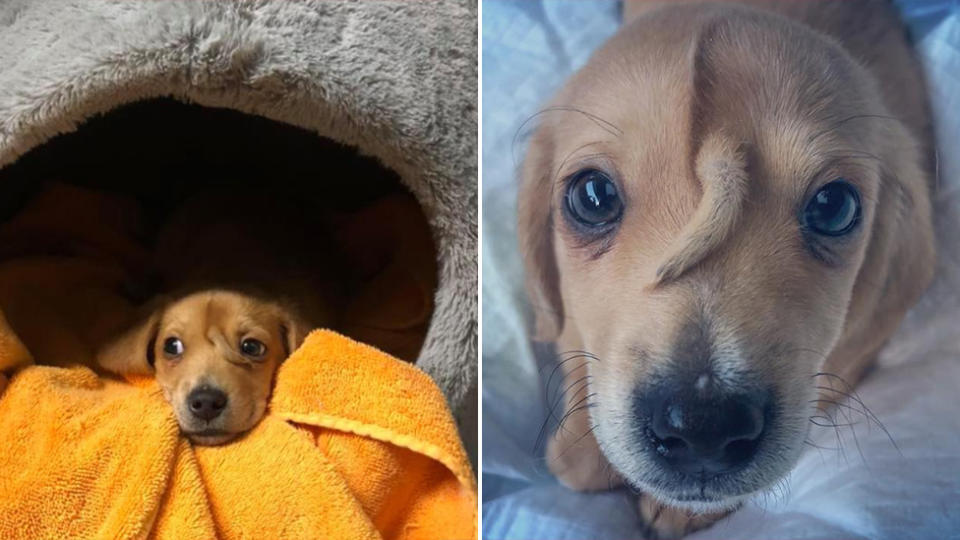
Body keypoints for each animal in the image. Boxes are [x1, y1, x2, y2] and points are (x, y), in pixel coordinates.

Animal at [520, 2, 932, 536]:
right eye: (593, 196)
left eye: (834, 206)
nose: (703, 427)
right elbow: (577, 354)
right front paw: (579, 449)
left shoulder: (847, 356)